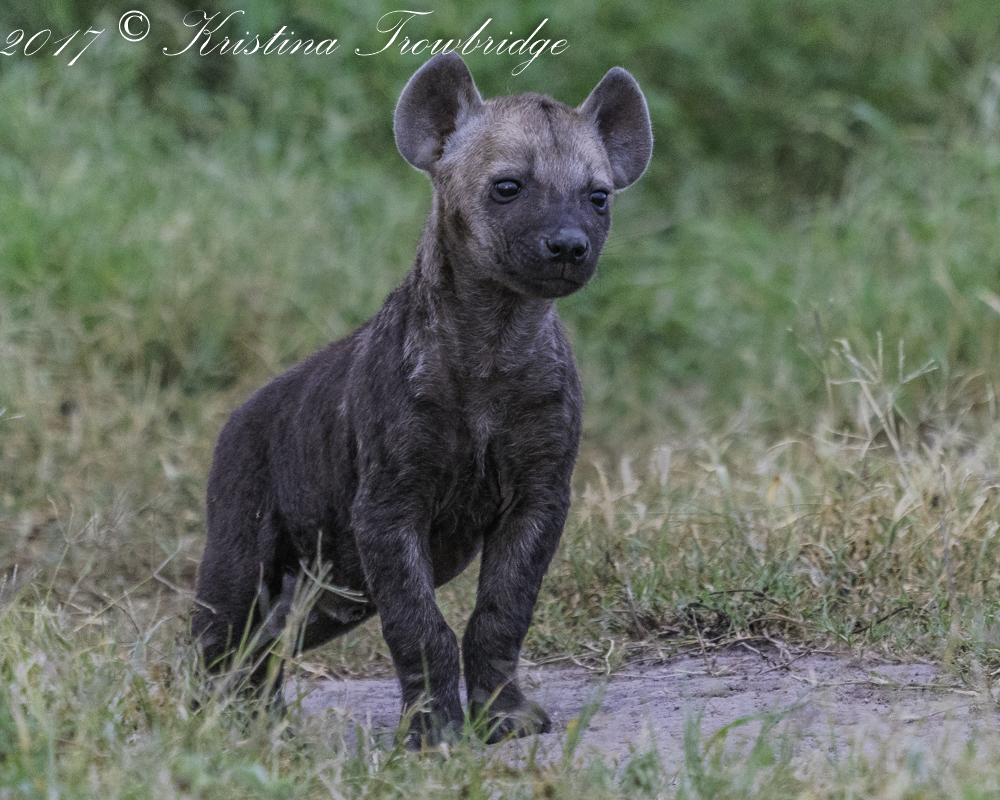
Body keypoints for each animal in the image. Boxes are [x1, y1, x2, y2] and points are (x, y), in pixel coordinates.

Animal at [193, 51, 652, 746]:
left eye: (598, 196)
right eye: (508, 187)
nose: (569, 243)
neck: (491, 348)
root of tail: (236, 415)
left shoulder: (541, 490)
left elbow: (503, 609)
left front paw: (505, 716)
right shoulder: (387, 500)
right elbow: (415, 620)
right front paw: (433, 726)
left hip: (337, 585)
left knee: (277, 633)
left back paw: (260, 716)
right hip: (245, 519)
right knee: (223, 624)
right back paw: (193, 717)